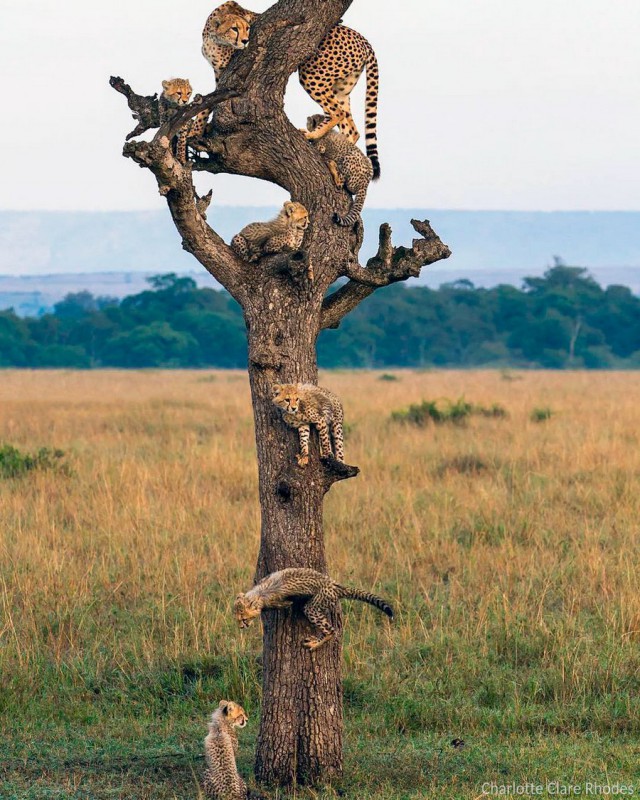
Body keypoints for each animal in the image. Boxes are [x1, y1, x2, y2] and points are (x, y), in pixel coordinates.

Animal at [235, 568, 396, 648]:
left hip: (313, 607)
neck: (258, 594)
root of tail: (336, 586)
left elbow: (286, 605)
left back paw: (315, 643)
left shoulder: (279, 602)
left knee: (331, 631)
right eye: (237, 619)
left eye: (243, 619)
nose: (241, 627)